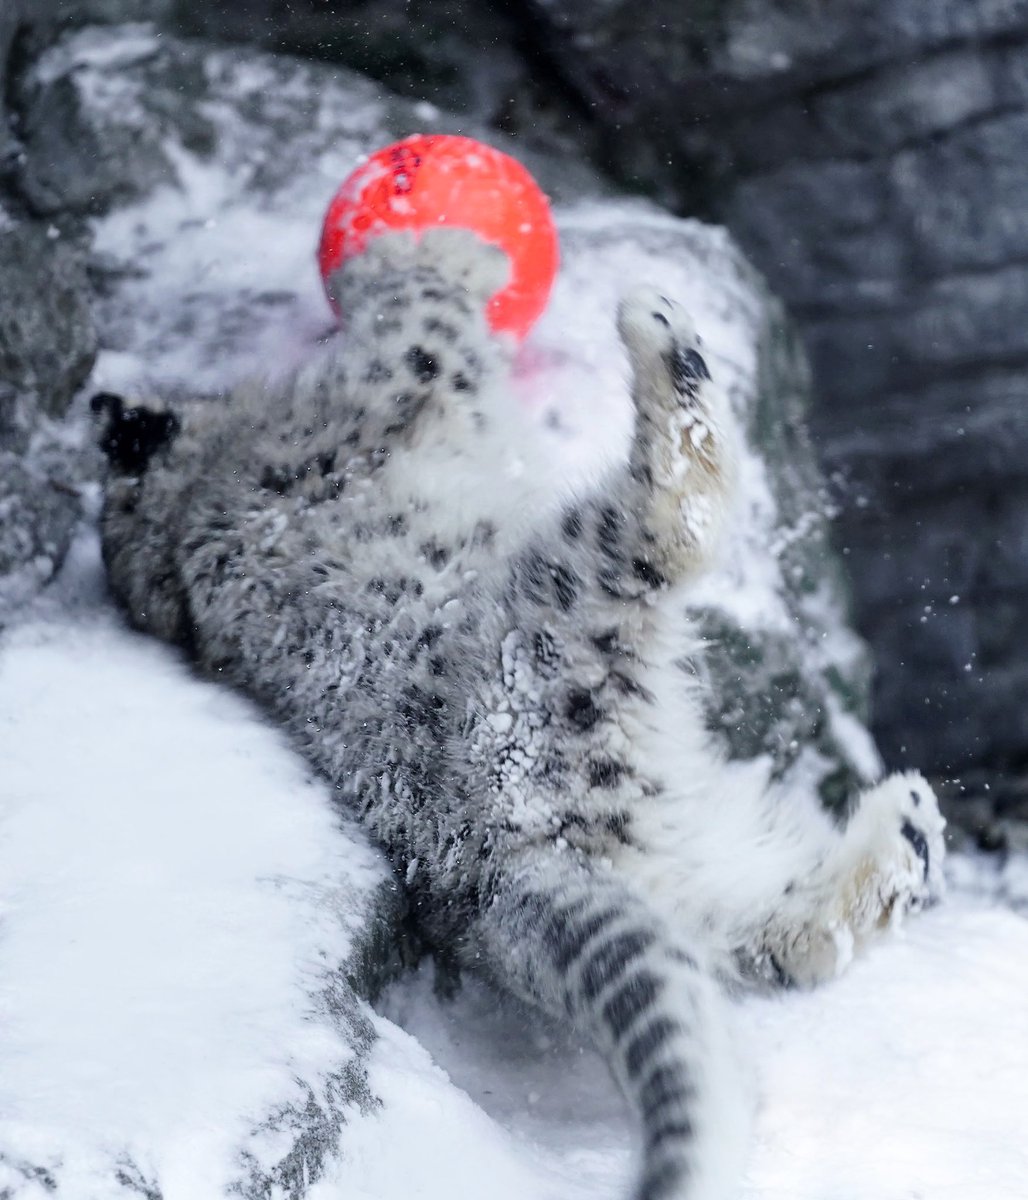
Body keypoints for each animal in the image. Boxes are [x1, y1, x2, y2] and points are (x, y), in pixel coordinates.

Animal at [93, 228, 946, 1200]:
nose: (105, 398)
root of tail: (502, 865)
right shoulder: (392, 382)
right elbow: (419, 316)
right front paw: (435, 251)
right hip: (566, 607)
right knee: (669, 522)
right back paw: (662, 336)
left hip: (694, 865)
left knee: (787, 936)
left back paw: (906, 834)